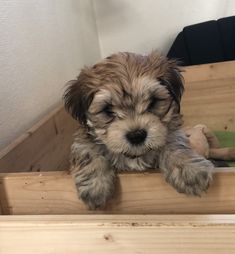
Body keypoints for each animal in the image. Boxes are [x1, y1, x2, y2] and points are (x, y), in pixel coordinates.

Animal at [63, 51, 214, 208]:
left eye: (153, 102)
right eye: (107, 110)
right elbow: (87, 151)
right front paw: (95, 187)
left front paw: (189, 170)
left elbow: (174, 143)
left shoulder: (170, 130)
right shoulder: (84, 139)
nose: (136, 135)